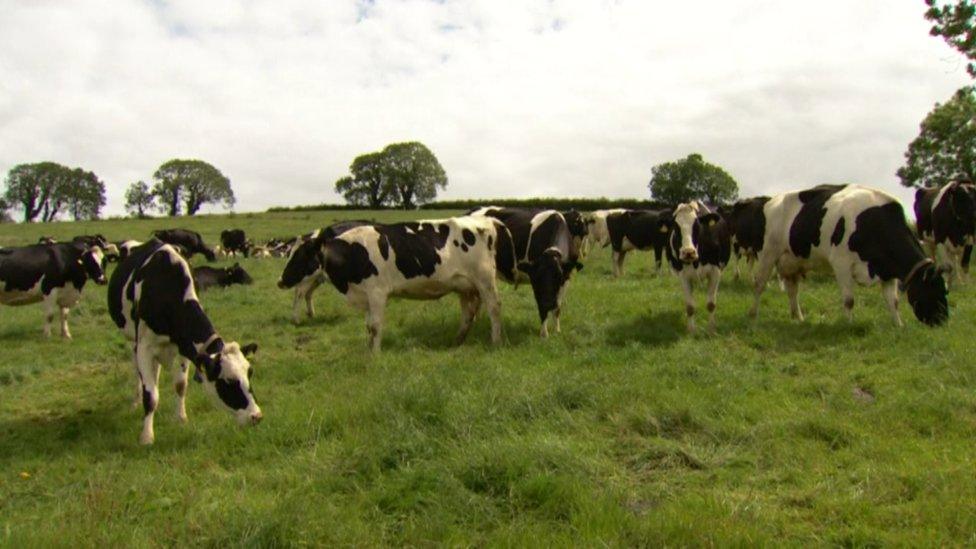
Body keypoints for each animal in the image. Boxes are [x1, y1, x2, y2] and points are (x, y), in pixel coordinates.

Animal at [107, 240, 264, 446]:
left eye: (250, 373)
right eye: (229, 381)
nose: (256, 416)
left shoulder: (184, 347)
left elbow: (180, 385)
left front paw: (181, 418)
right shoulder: (144, 347)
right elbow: (151, 395)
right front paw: (147, 436)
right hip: (131, 339)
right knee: (138, 373)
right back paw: (136, 400)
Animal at [306, 215, 520, 348]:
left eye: (312, 257)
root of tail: (486, 219)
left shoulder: (377, 292)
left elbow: (375, 326)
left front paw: (375, 355)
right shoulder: (366, 296)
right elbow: (368, 327)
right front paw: (368, 351)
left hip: (485, 280)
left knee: (494, 307)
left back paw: (495, 341)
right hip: (466, 286)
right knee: (469, 313)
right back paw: (457, 341)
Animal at [470, 207, 580, 338]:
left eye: (558, 277)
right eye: (537, 279)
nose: (548, 303)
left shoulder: (566, 279)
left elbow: (558, 308)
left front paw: (557, 331)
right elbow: (542, 309)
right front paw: (544, 334)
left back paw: (478, 319)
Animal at [660, 201, 728, 330]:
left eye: (697, 226)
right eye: (676, 228)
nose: (688, 252)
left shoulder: (716, 271)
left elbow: (711, 304)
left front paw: (711, 329)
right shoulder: (683, 275)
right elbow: (690, 306)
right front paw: (691, 330)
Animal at [748, 182, 944, 328]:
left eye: (945, 289)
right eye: (932, 288)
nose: (942, 319)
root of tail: (772, 201)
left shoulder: (888, 271)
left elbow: (893, 301)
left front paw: (899, 325)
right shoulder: (841, 263)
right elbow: (849, 300)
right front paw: (849, 325)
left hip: (793, 261)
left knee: (792, 290)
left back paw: (799, 318)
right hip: (768, 254)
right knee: (759, 284)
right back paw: (753, 315)